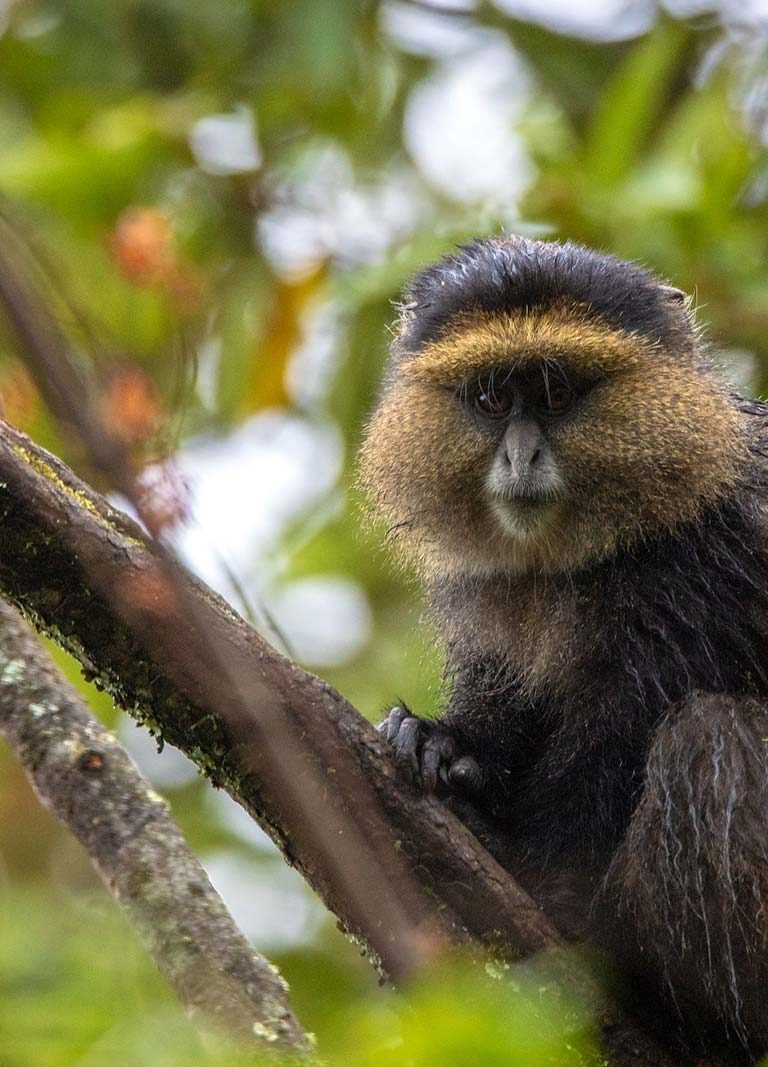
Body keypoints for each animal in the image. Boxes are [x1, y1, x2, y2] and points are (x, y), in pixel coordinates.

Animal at [359, 235, 768, 1063]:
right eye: (490, 398)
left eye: (553, 392)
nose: (520, 457)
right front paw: (446, 745)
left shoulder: (702, 575)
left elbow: (607, 759)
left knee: (710, 741)